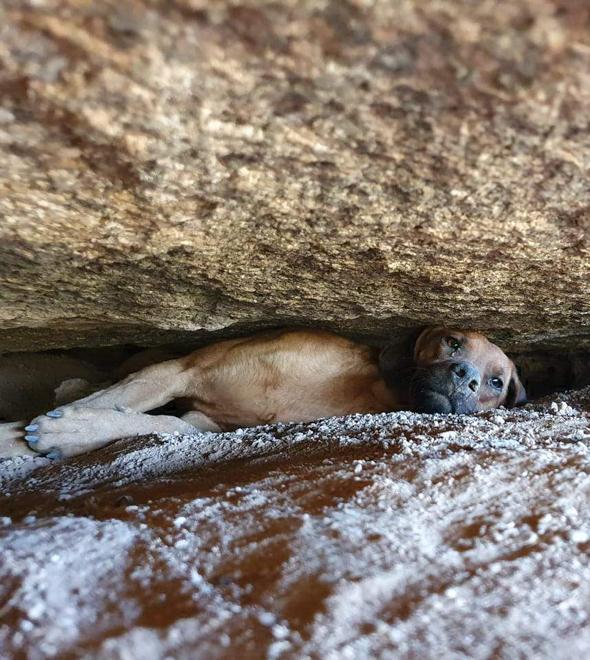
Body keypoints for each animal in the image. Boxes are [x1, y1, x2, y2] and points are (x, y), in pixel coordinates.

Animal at [0, 326, 528, 458]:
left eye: (497, 382)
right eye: (452, 341)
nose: (465, 376)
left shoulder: (202, 420)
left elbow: (160, 422)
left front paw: (62, 433)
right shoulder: (180, 369)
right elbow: (113, 403)